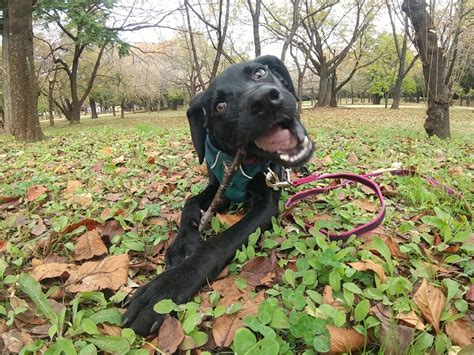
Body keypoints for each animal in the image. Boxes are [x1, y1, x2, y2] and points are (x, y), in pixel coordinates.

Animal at [122, 55, 314, 336]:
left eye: (260, 73)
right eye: (220, 106)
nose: (265, 100)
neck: (242, 160)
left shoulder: (265, 206)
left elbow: (217, 243)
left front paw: (165, 289)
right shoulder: (217, 187)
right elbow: (190, 203)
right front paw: (182, 245)